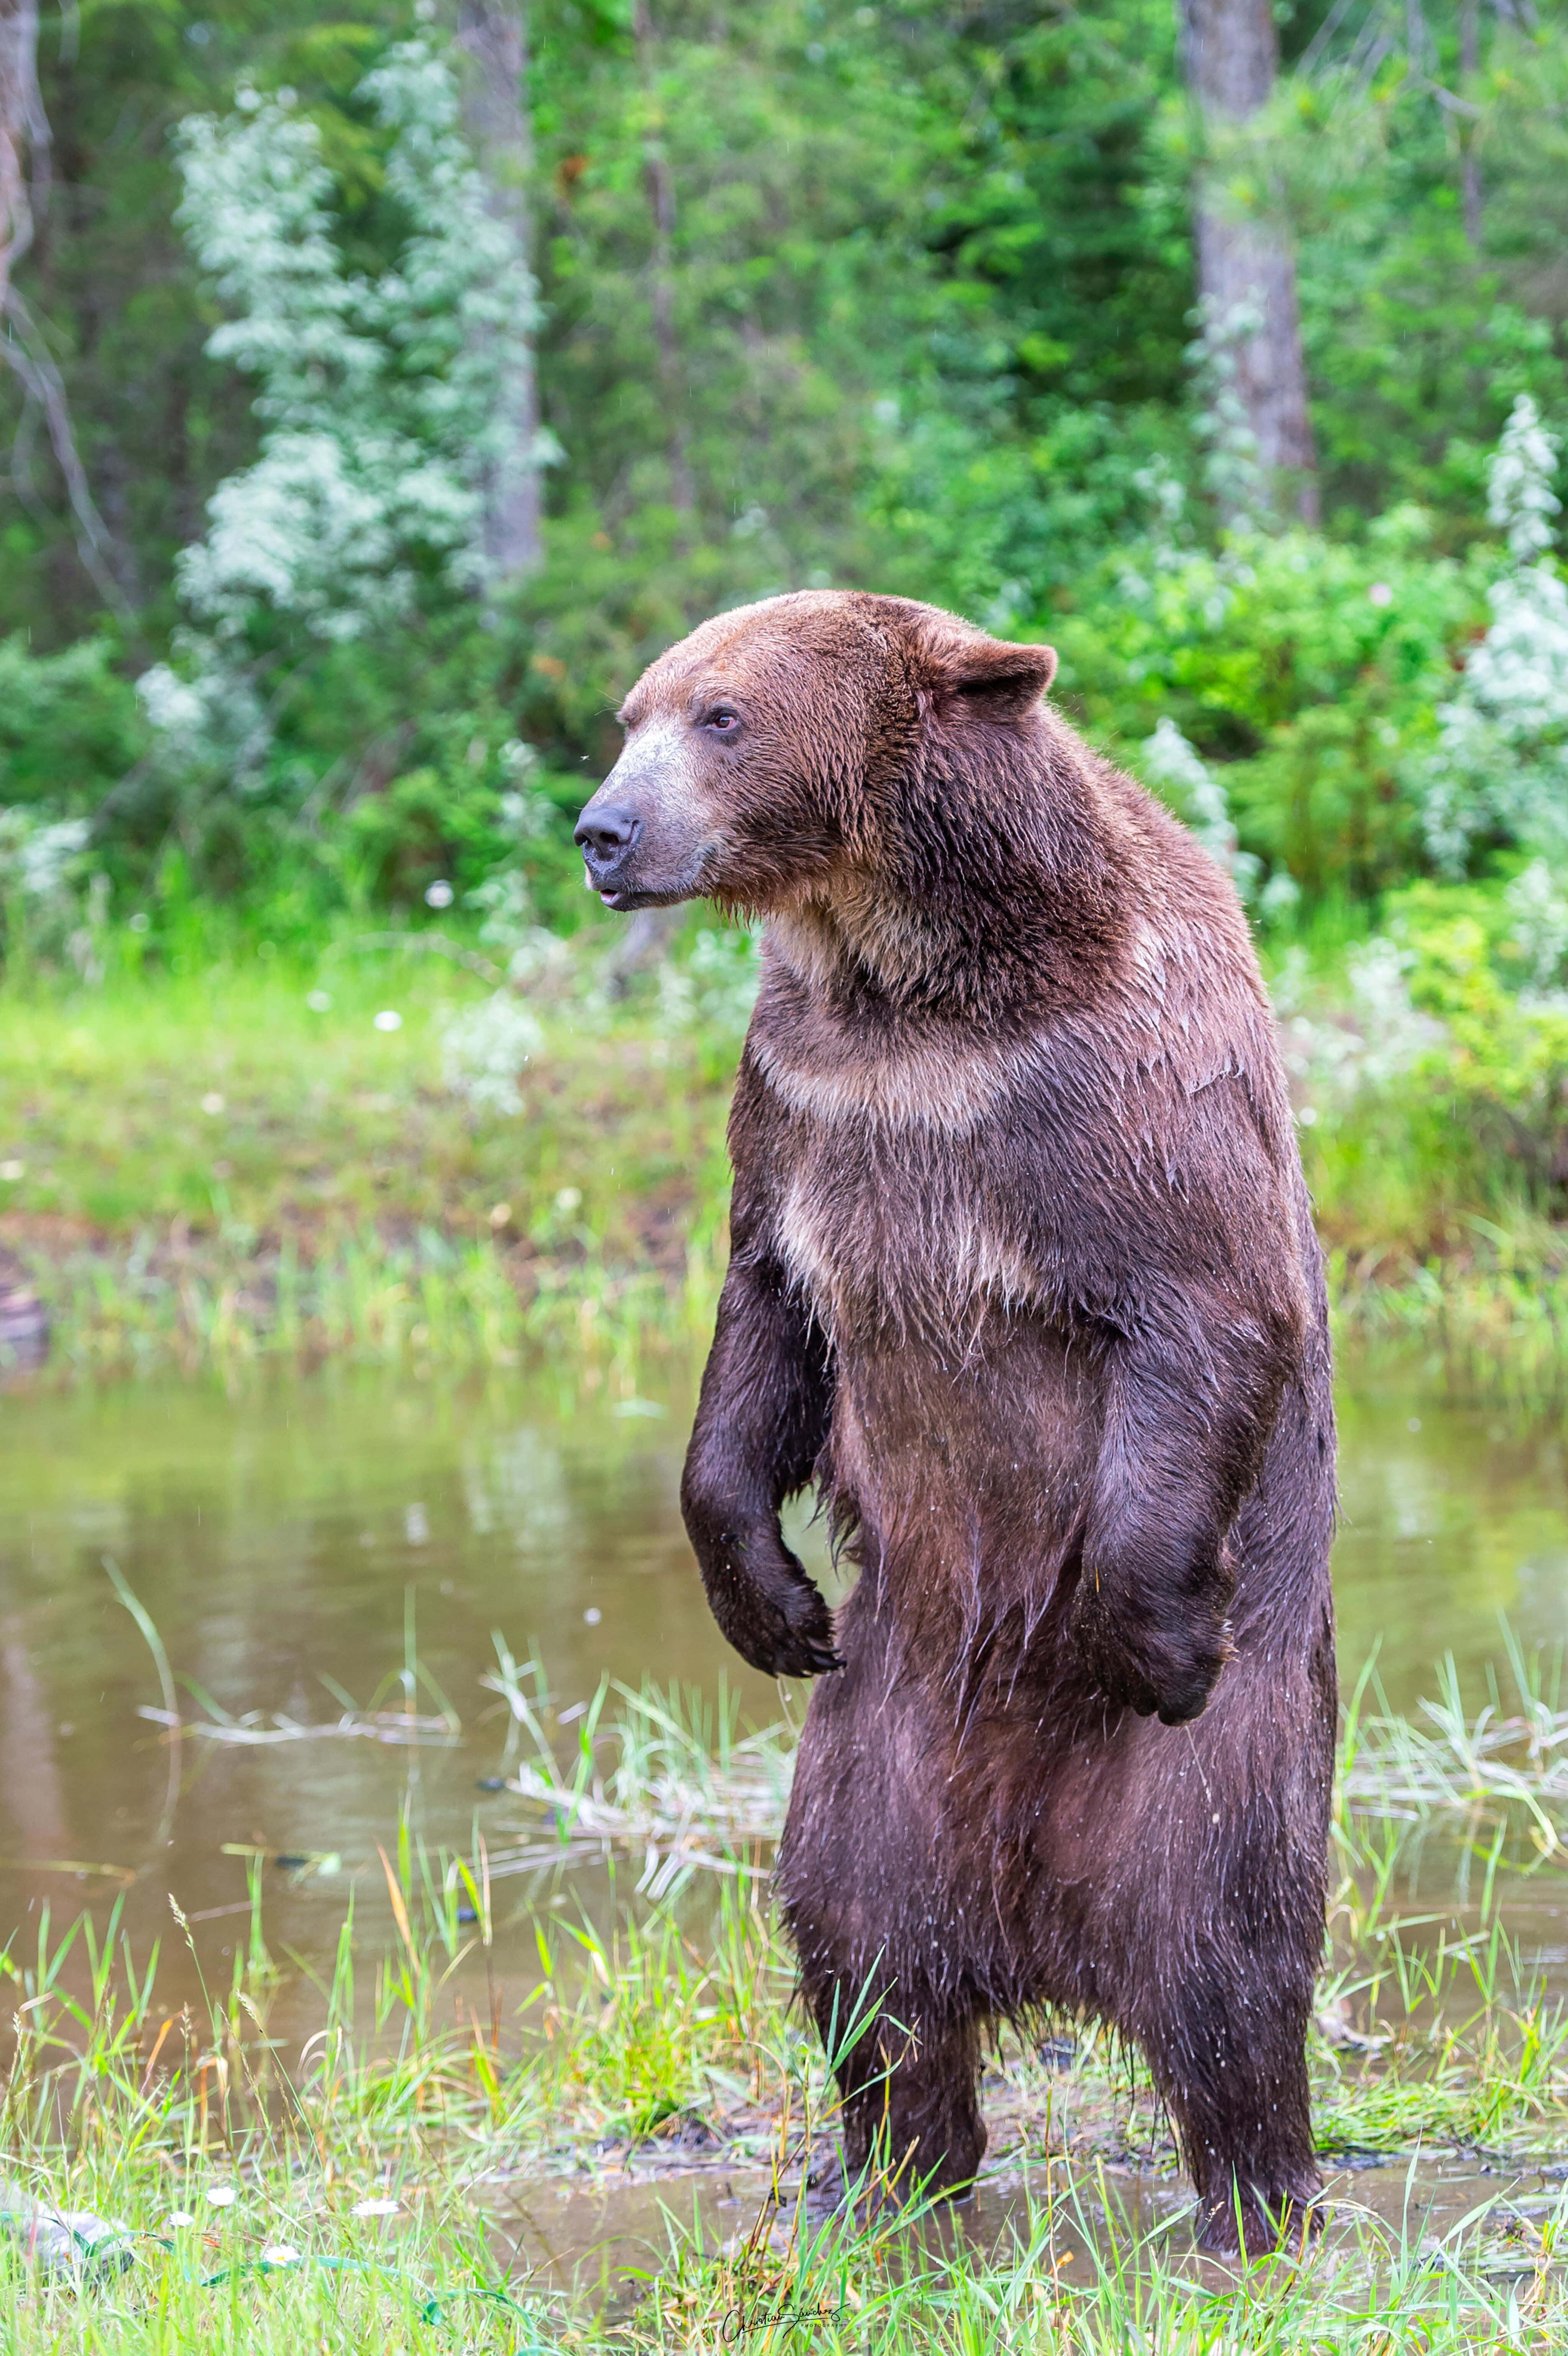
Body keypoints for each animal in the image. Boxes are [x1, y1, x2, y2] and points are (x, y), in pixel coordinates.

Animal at [574, 590, 1337, 2253]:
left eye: (721, 715)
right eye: (631, 712)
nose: (603, 831)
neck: (909, 977)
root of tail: (1040, 1926)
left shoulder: (1105, 1092)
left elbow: (1202, 1308)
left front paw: (1150, 1633)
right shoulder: (804, 1104)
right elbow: (764, 1323)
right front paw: (767, 1596)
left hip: (1209, 1772)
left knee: (1224, 1965)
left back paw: (1255, 2202)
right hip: (877, 1753)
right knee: (864, 1956)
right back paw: (887, 2175)